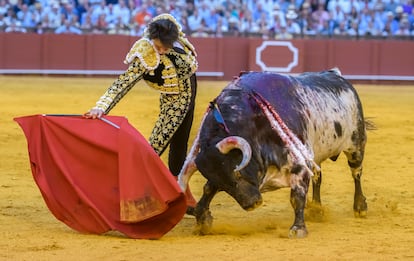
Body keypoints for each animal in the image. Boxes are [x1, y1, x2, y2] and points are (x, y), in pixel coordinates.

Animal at [177, 68, 368, 237]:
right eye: (223, 183)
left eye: (237, 173)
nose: (252, 204)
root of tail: (336, 75)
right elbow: (208, 188)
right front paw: (202, 220)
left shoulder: (299, 165)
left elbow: (297, 196)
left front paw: (298, 229)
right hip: (318, 155)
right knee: (318, 177)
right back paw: (316, 209)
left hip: (356, 145)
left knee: (356, 173)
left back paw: (360, 207)